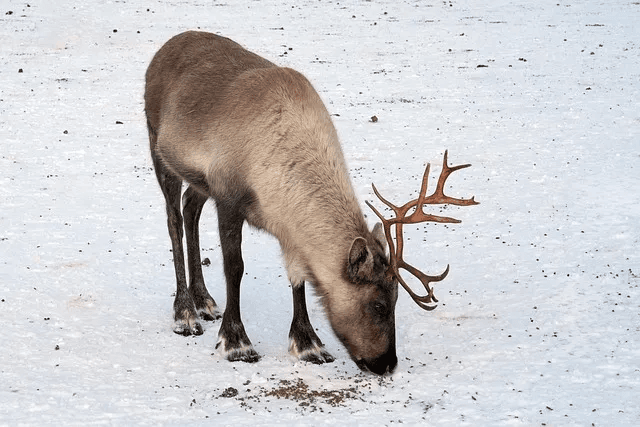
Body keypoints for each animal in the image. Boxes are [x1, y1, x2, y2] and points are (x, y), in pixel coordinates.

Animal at [144, 31, 478, 375]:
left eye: (397, 298)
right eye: (378, 304)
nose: (387, 363)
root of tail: (165, 48)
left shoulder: (286, 224)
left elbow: (298, 276)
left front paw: (308, 344)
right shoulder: (228, 197)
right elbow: (235, 268)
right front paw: (237, 342)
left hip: (199, 181)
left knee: (189, 207)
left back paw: (204, 301)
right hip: (159, 149)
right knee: (174, 220)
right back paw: (185, 313)